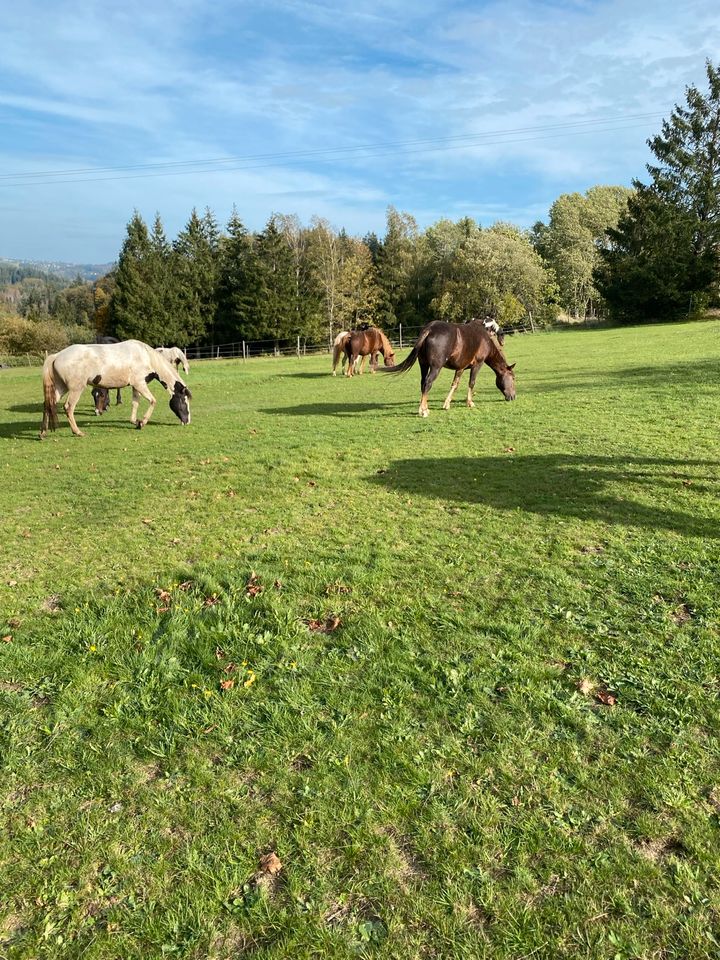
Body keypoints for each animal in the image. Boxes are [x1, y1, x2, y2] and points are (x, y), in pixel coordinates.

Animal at [40, 340, 191, 436]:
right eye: (183, 401)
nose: (187, 421)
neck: (146, 357)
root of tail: (57, 356)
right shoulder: (140, 385)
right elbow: (153, 401)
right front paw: (142, 422)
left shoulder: (136, 386)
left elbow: (135, 403)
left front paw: (135, 421)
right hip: (76, 389)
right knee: (68, 407)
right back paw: (77, 432)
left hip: (60, 388)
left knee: (48, 404)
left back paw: (43, 433)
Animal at [386, 320, 516, 414]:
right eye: (513, 378)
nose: (513, 396)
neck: (485, 338)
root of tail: (430, 329)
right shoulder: (477, 365)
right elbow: (471, 383)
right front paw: (470, 402)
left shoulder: (461, 368)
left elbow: (455, 385)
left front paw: (447, 404)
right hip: (435, 368)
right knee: (428, 383)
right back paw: (423, 411)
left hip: (423, 365)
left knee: (423, 383)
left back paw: (425, 407)